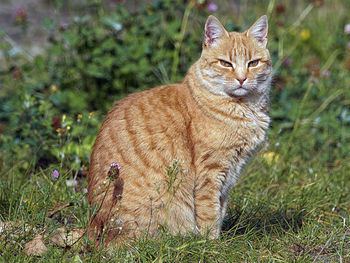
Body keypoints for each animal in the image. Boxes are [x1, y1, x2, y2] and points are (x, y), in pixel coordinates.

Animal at [87, 14, 270, 245]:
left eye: (253, 63)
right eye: (225, 63)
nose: (241, 78)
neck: (245, 108)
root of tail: (93, 229)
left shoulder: (230, 173)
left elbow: (221, 208)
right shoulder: (211, 173)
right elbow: (210, 213)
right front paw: (212, 243)